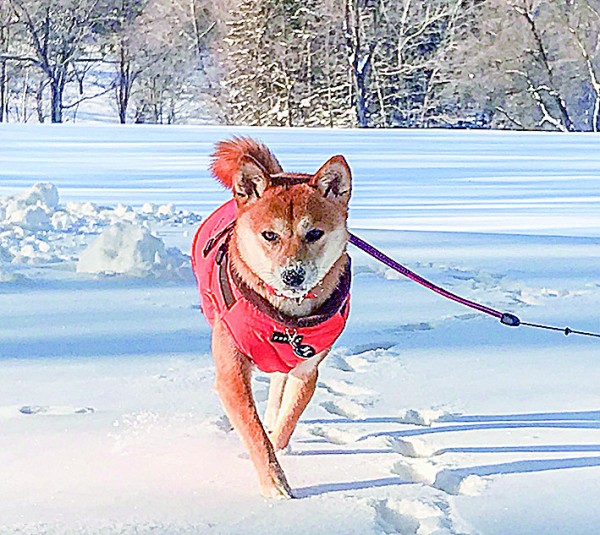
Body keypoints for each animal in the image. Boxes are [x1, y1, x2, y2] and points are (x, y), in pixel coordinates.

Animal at [191, 137, 352, 498]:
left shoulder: (307, 370)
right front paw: (274, 483)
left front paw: (280, 447)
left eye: (314, 233)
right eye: (269, 235)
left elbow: (288, 419)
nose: (293, 275)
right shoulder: (232, 370)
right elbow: (253, 431)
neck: (285, 315)